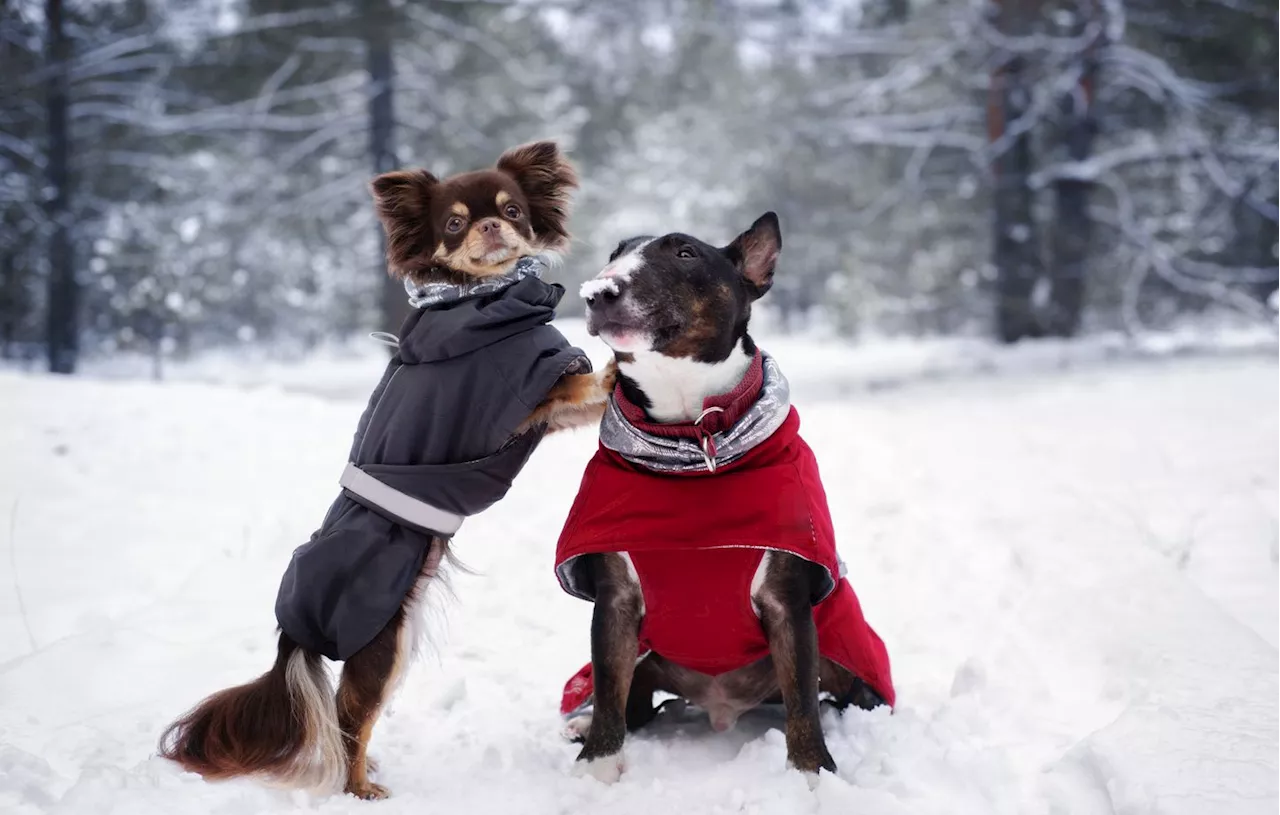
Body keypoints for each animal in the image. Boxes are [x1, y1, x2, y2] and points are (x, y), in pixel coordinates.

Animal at [555, 214, 896, 783]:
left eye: (686, 253)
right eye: (615, 253)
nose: (599, 292)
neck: (693, 442)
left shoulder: (787, 602)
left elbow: (802, 702)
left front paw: (812, 776)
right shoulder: (616, 600)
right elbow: (606, 687)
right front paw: (596, 769)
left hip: (847, 660)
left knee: (838, 698)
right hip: (649, 656)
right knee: (635, 703)